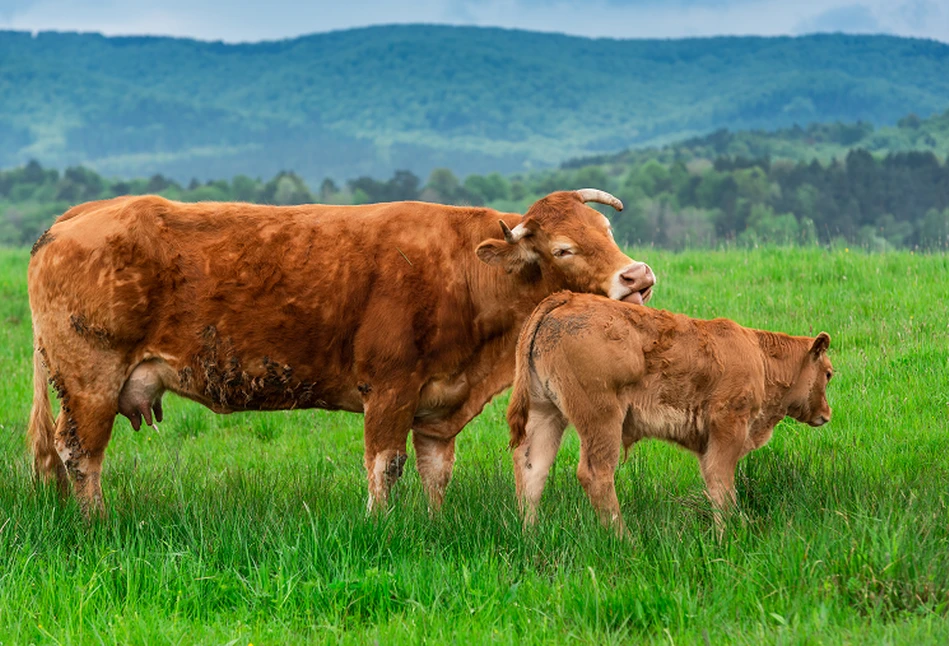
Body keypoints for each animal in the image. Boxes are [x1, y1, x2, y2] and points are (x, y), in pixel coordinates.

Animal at [27, 190, 652, 520]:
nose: (639, 277)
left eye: (606, 231)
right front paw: (380, 525)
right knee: (79, 453)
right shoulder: (391, 389)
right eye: (564, 248)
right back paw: (96, 524)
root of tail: (81, 213)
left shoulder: (438, 403)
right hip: (91, 380)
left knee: (56, 453)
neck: (466, 275)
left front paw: (435, 524)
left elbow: (435, 469)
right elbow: (384, 465)